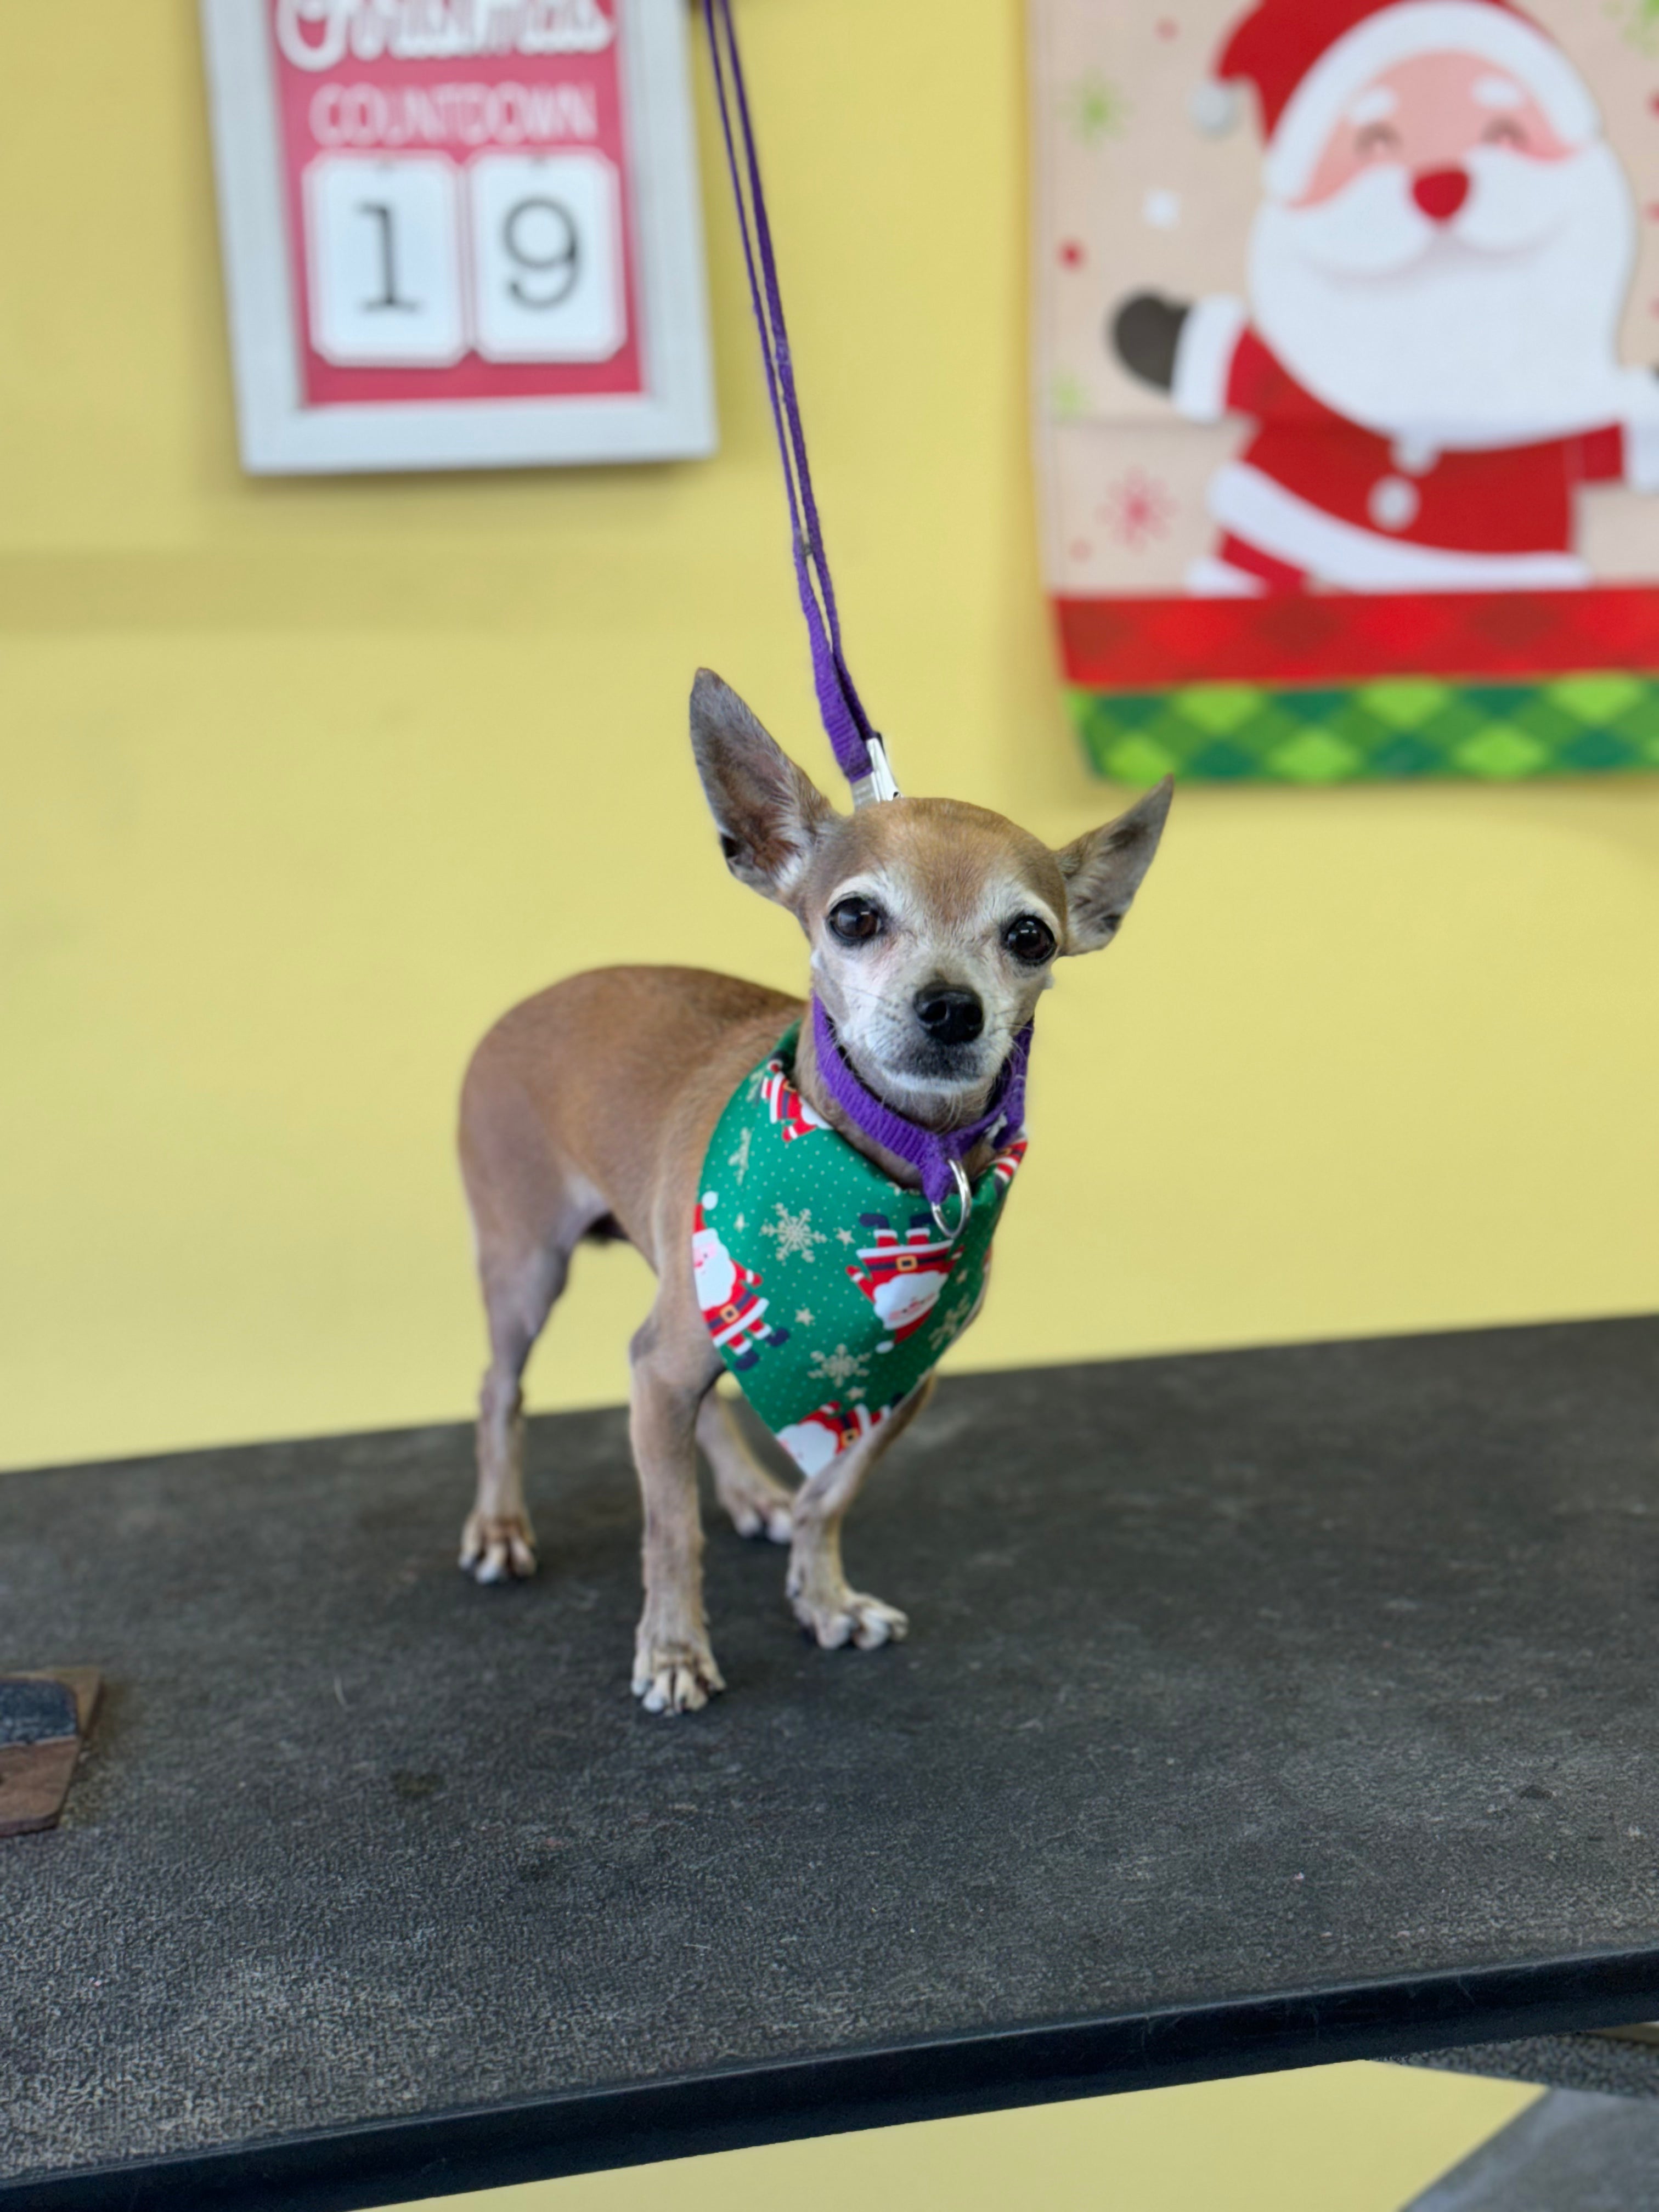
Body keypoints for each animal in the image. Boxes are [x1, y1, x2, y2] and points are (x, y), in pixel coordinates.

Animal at [462, 668, 1177, 1707]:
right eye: (854, 917)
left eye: (1030, 937)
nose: (951, 1007)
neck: (894, 1167)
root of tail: (523, 1007)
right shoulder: (674, 1363)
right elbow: (668, 1531)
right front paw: (673, 1649)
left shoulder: (899, 1384)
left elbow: (827, 1495)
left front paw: (824, 1596)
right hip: (526, 1270)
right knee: (500, 1389)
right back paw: (499, 1526)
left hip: (669, 1302)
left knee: (701, 1396)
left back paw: (749, 1491)